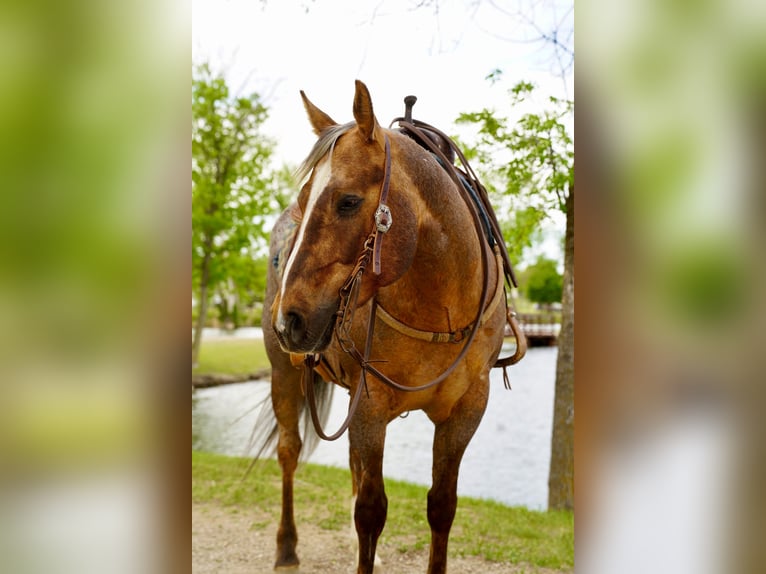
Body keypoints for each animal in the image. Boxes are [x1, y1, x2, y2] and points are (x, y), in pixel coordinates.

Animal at [256, 80, 525, 574]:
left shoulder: (466, 410)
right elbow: (371, 510)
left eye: (347, 201)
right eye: (302, 204)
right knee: (289, 452)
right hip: (283, 373)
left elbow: (441, 505)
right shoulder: (370, 406)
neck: (439, 307)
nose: (289, 320)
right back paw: (286, 546)